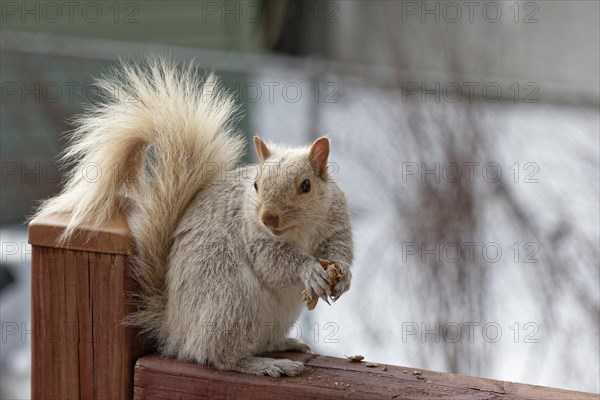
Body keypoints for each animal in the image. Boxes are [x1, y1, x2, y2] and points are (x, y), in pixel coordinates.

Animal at [35, 57, 354, 376]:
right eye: (256, 184)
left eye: (306, 186)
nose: (268, 219)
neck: (300, 230)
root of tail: (175, 328)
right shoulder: (254, 235)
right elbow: (272, 262)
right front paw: (308, 269)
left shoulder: (336, 224)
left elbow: (340, 250)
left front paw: (344, 276)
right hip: (231, 300)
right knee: (220, 356)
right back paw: (263, 364)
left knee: (253, 343)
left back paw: (282, 345)